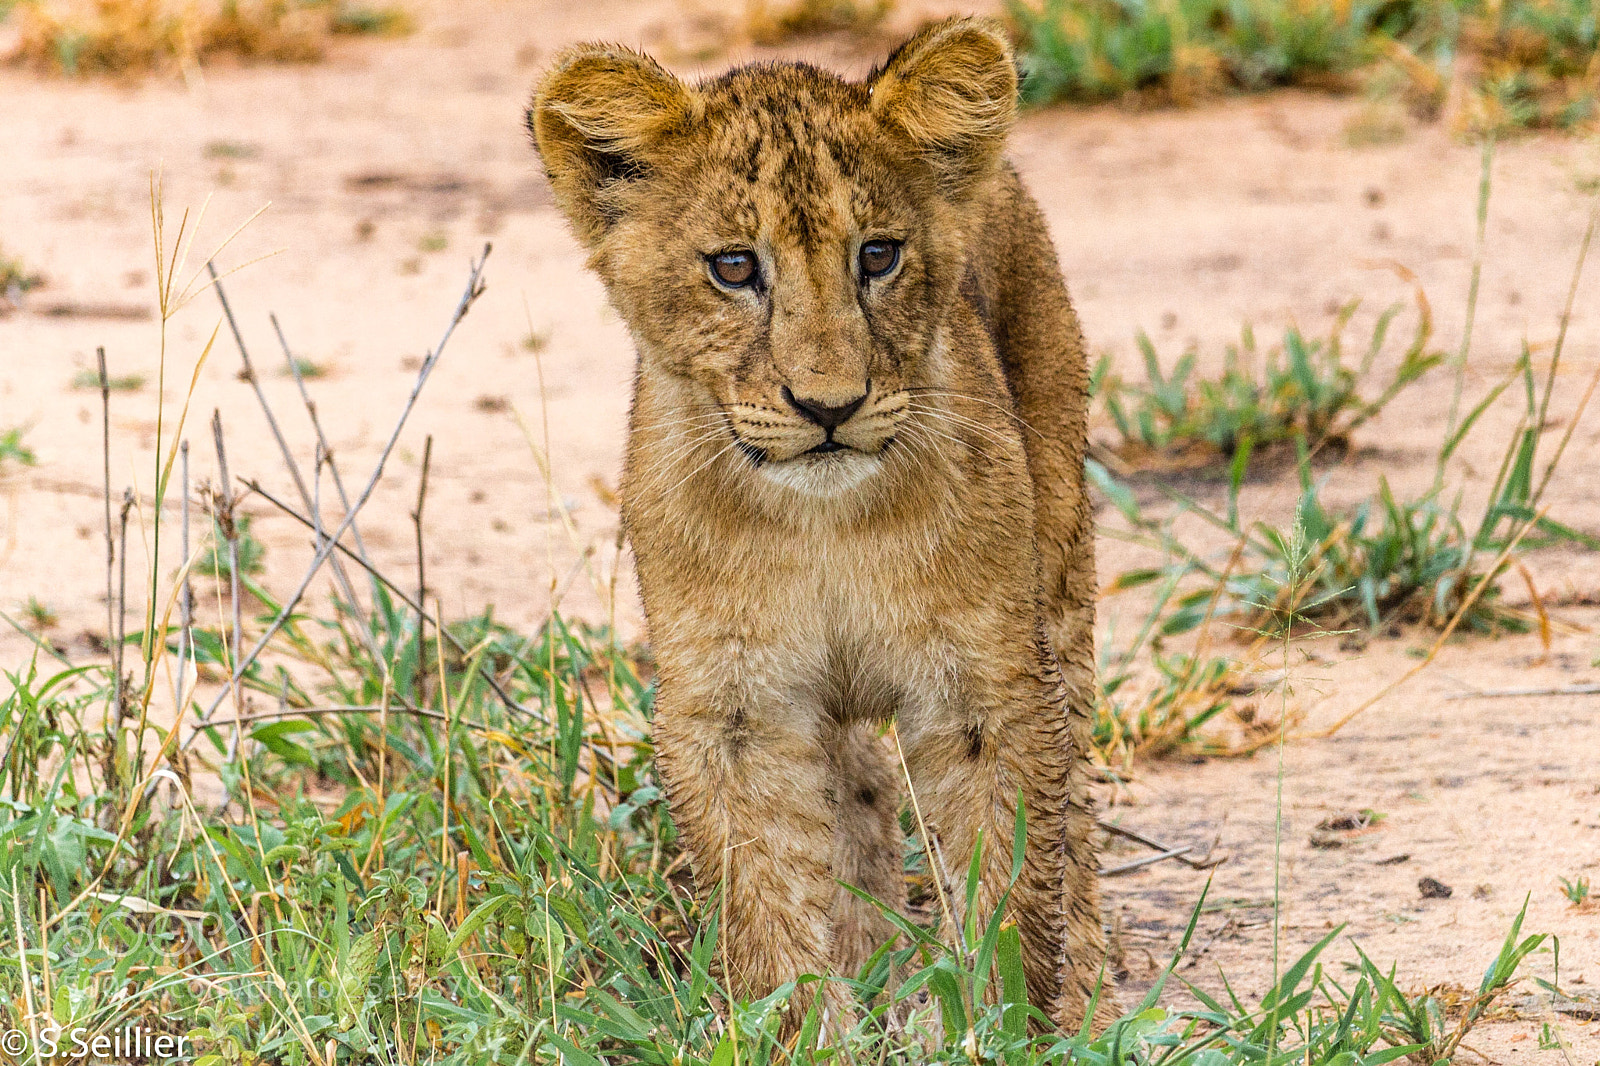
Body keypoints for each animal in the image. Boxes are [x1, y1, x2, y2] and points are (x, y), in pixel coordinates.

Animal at [528, 17, 1112, 1032]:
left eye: (877, 256)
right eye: (734, 268)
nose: (829, 406)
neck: (823, 526)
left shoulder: (985, 687)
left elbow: (1008, 873)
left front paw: (1002, 1023)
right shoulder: (735, 708)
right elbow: (766, 897)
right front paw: (812, 1026)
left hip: (1061, 551)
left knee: (1073, 787)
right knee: (859, 793)